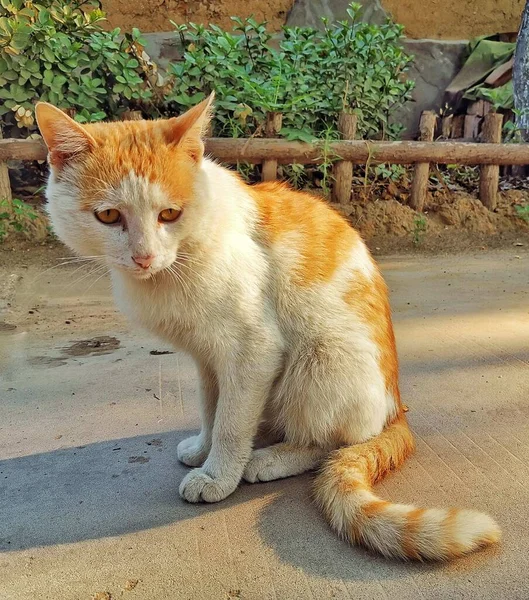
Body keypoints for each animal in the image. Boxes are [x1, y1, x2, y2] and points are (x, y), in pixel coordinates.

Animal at [36, 92, 500, 556]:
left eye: (169, 214)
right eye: (109, 216)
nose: (143, 256)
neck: (175, 267)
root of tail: (396, 406)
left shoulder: (252, 350)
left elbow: (231, 422)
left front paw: (217, 474)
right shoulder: (207, 358)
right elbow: (211, 409)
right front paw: (202, 448)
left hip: (319, 359)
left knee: (334, 443)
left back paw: (269, 459)